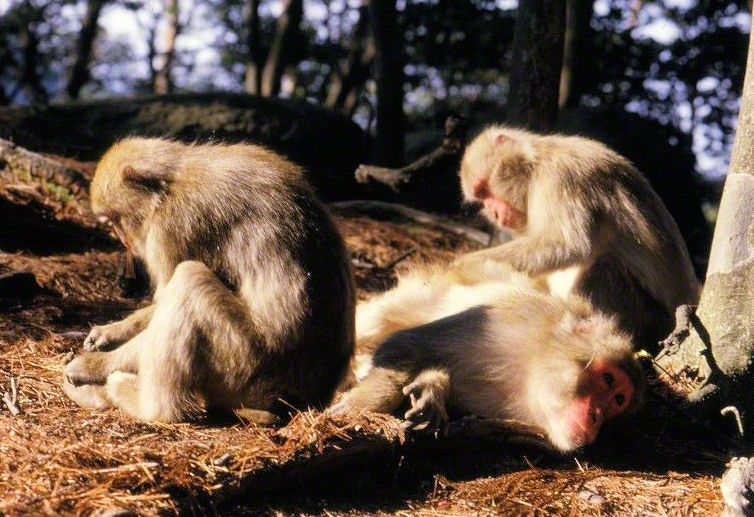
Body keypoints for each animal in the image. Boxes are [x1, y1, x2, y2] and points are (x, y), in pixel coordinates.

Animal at [62, 137, 355, 423]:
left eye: (115, 220)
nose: (123, 240)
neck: (173, 181)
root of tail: (308, 400)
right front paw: (111, 331)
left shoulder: (172, 227)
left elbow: (168, 293)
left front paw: (97, 364)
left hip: (246, 366)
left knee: (190, 281)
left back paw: (149, 408)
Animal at [333, 283, 645, 453]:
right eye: (607, 379)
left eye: (618, 400)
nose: (597, 416)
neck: (527, 373)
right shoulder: (507, 320)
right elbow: (407, 343)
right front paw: (356, 408)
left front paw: (434, 391)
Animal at [450, 125, 700, 350]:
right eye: (481, 198)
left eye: (484, 191)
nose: (492, 212)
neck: (534, 167)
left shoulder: (560, 175)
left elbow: (568, 244)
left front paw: (463, 266)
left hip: (652, 321)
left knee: (603, 267)